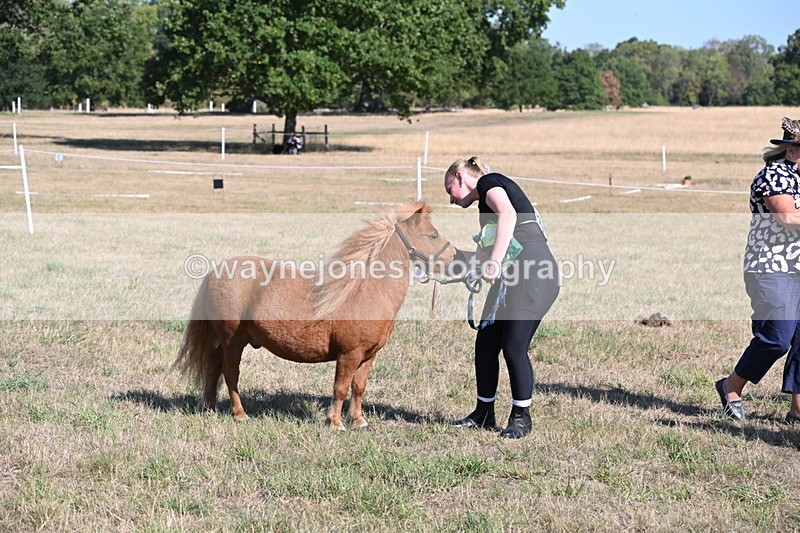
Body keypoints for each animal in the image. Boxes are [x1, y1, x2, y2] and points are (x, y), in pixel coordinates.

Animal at [174, 202, 457, 429]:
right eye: (433, 234)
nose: (457, 259)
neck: (363, 290)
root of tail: (215, 272)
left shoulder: (368, 357)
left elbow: (359, 387)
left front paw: (359, 421)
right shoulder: (349, 355)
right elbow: (340, 388)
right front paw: (335, 423)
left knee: (213, 364)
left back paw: (210, 407)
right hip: (233, 339)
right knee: (230, 372)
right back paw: (239, 413)